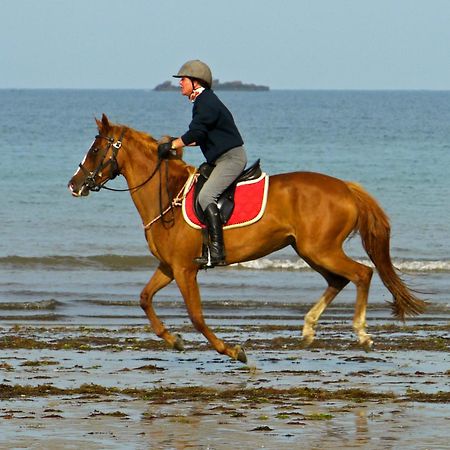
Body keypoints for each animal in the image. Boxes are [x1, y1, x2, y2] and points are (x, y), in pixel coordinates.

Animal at [68, 114, 428, 364]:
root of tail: (346, 188)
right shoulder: (169, 267)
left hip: (320, 249)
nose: (74, 184)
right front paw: (173, 340)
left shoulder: (185, 270)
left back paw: (361, 333)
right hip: (309, 250)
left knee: (361, 273)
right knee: (338, 280)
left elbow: (197, 316)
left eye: (96, 149)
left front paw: (232, 350)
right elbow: (144, 299)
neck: (167, 194)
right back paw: (309, 328)